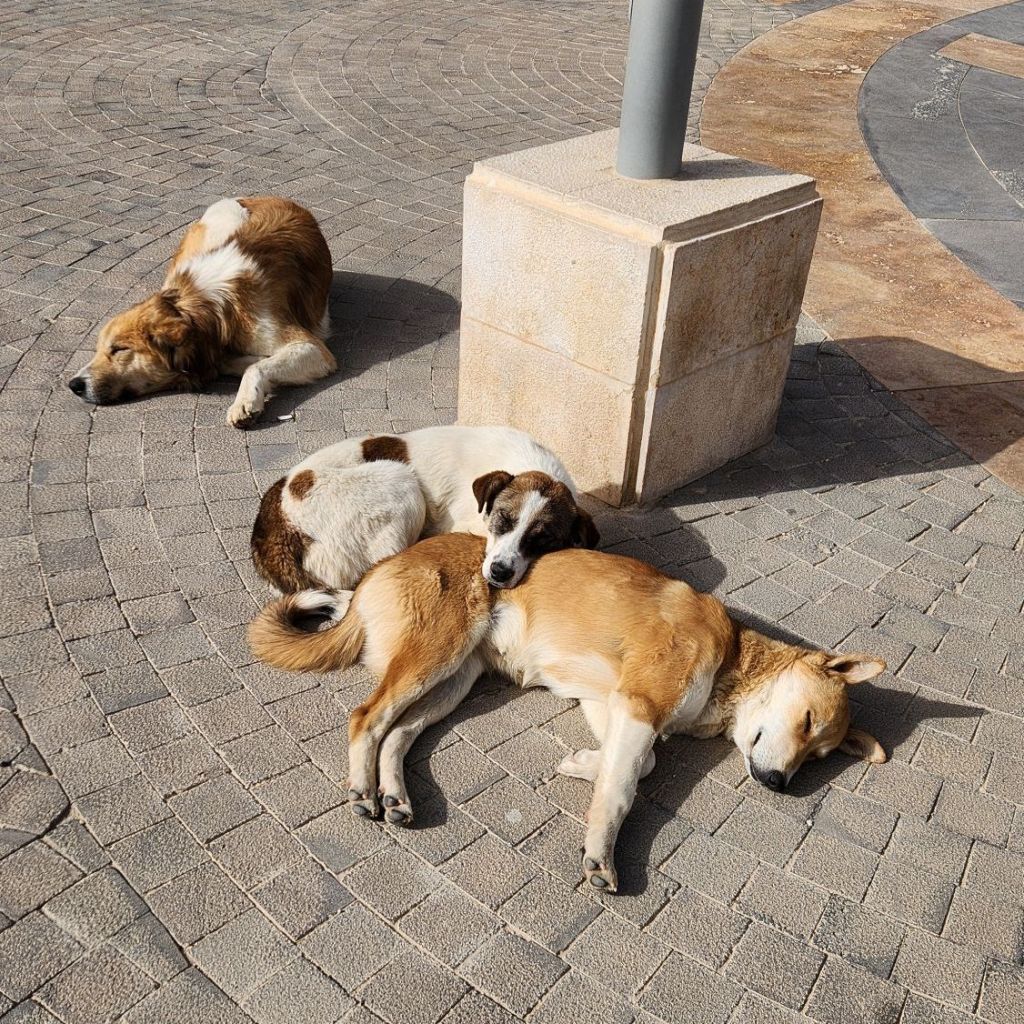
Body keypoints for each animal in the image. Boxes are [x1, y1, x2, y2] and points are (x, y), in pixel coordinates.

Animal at [68, 196, 336, 428]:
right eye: (99, 350)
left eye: (119, 349)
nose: (74, 385)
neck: (203, 307)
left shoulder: (314, 349)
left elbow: (256, 367)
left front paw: (245, 400)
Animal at [248, 534, 887, 893]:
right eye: (808, 723)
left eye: (819, 756)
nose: (779, 784)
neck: (731, 654)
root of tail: (375, 571)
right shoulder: (639, 705)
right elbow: (626, 786)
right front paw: (600, 852)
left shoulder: (611, 703)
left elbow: (641, 763)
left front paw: (582, 763)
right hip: (435, 656)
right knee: (366, 717)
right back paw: (362, 789)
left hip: (454, 681)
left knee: (397, 731)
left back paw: (396, 795)